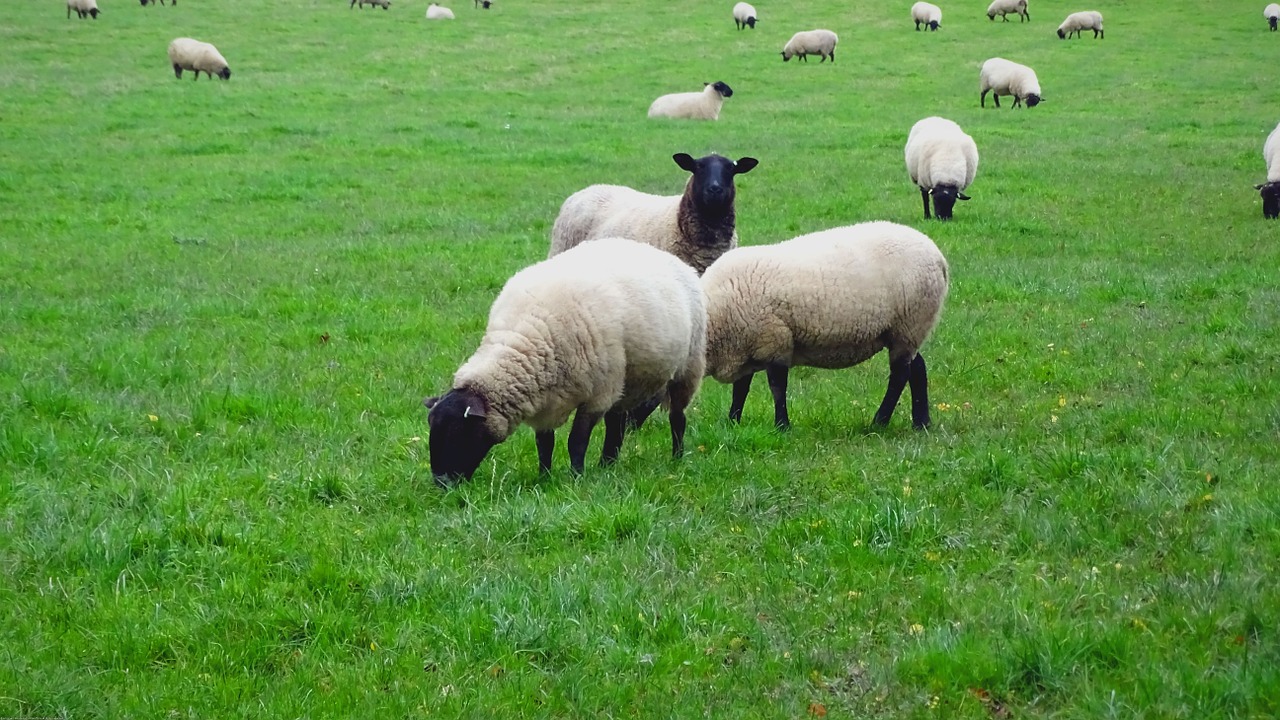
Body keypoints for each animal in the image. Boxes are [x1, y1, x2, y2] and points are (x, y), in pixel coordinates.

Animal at [419, 237, 706, 481]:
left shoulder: (597, 395)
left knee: (677, 419)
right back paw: (607, 465)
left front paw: (576, 477)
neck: (527, 334)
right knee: (616, 425)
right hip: (626, 381)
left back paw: (677, 458)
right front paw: (544, 477)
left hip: (686, 368)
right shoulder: (543, 397)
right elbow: (544, 443)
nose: (442, 484)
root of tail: (661, 253)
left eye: (459, 432)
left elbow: (576, 441)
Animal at [701, 219, 952, 427]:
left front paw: (782, 426)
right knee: (917, 369)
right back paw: (921, 423)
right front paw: (732, 422)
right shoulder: (747, 344)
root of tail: (938, 257)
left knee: (900, 375)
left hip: (909, 323)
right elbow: (741, 389)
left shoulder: (775, 341)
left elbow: (777, 387)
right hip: (906, 331)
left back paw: (879, 422)